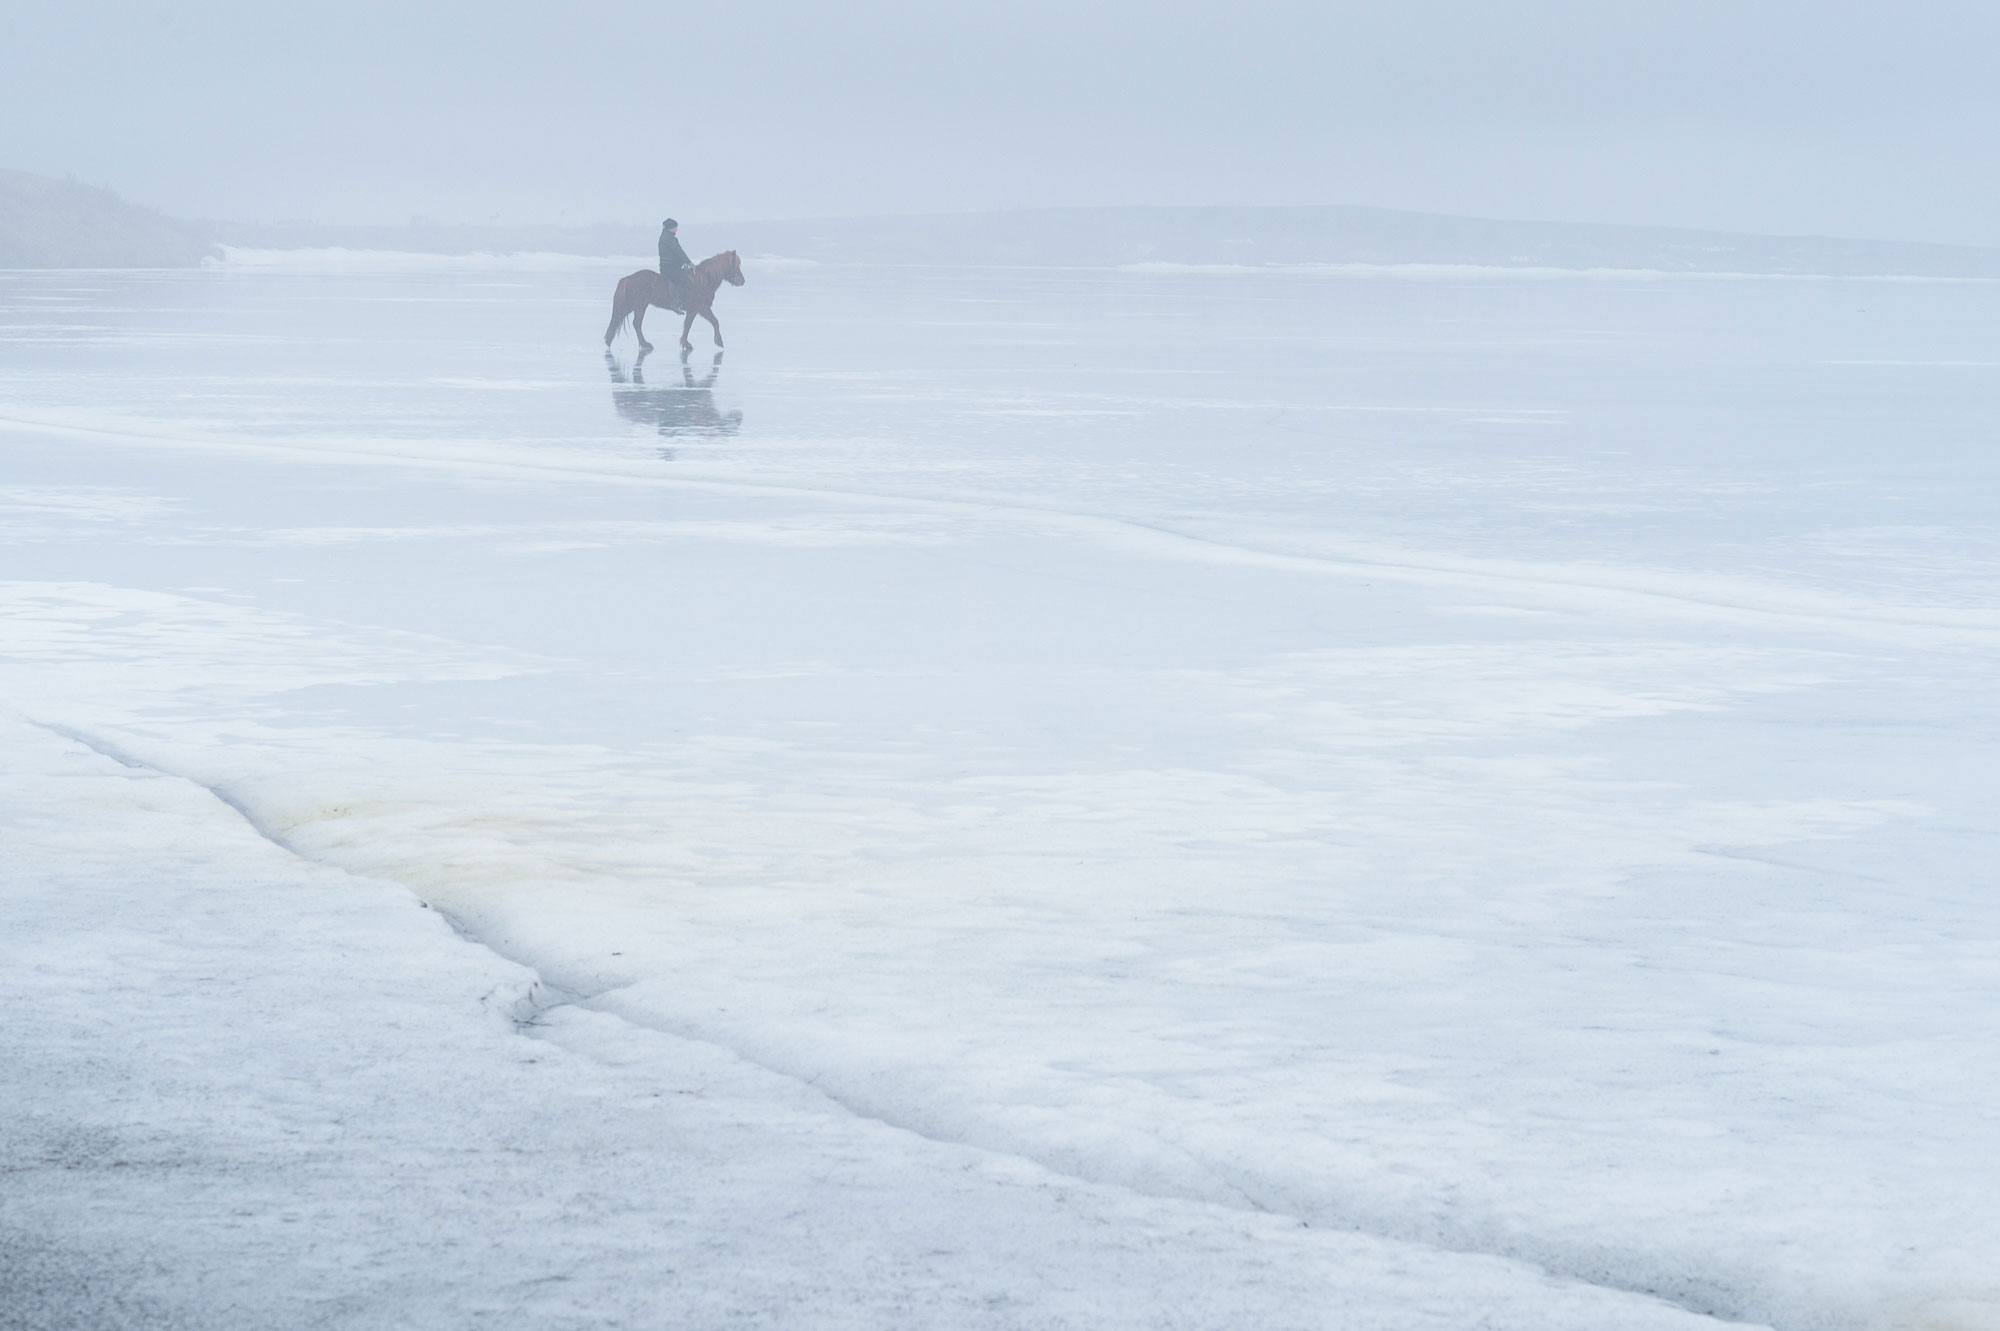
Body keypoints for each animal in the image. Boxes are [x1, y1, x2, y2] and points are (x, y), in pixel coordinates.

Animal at [604, 250, 745, 353]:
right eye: (734, 265)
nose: (742, 281)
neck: (703, 279)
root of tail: (629, 278)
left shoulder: (693, 310)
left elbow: (687, 326)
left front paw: (685, 343)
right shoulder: (701, 307)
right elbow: (715, 321)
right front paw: (719, 341)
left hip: (634, 305)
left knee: (621, 319)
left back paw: (610, 340)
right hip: (639, 306)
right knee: (635, 323)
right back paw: (644, 344)